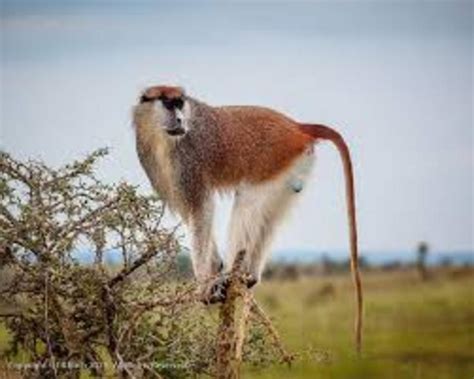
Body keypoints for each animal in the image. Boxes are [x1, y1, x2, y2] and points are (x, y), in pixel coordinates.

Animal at [133, 86, 362, 354]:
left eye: (180, 103)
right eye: (170, 104)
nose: (180, 120)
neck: (161, 138)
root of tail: (296, 126)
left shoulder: (189, 163)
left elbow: (201, 211)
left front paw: (206, 286)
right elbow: (193, 216)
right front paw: (215, 267)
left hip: (274, 158)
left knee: (247, 200)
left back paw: (235, 277)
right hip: (290, 167)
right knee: (268, 214)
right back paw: (249, 275)